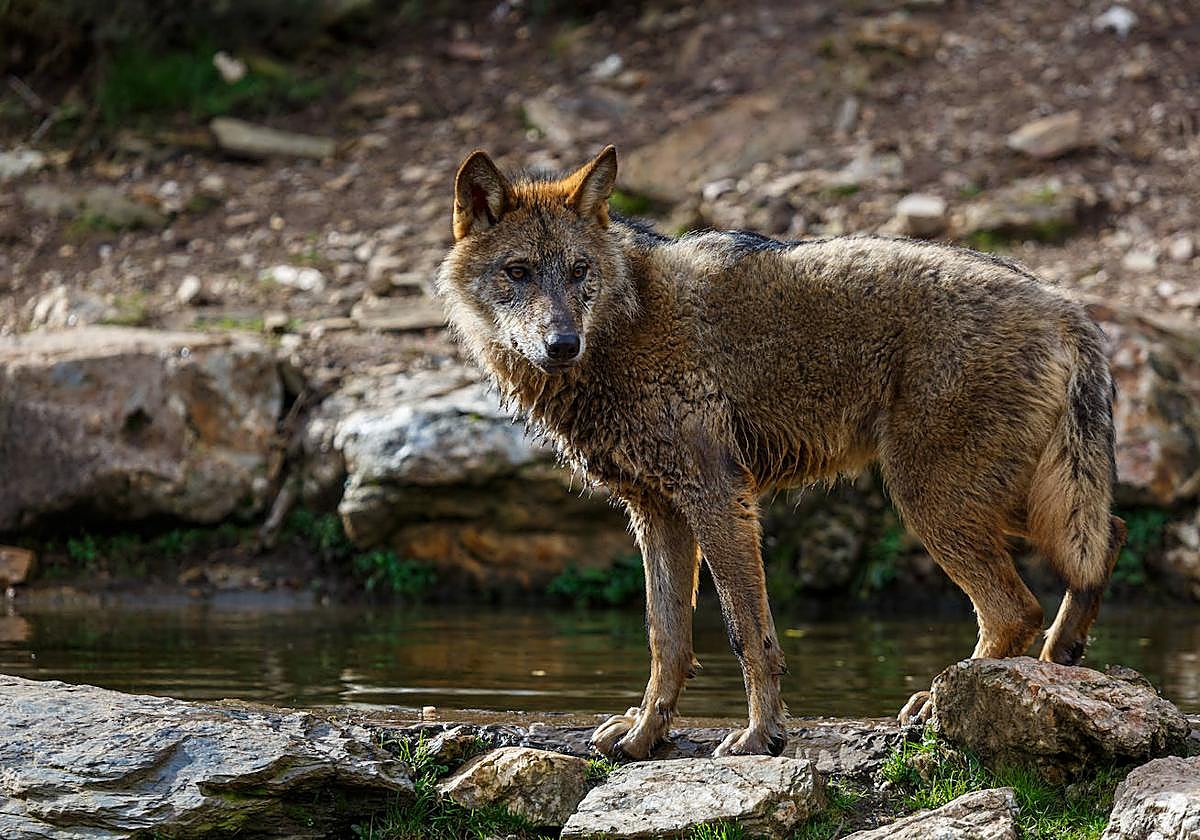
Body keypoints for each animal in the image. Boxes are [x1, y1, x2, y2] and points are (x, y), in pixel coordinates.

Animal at [435, 145, 1125, 759]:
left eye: (579, 271)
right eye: (519, 272)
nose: (562, 344)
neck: (627, 324)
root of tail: (1067, 306)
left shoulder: (719, 498)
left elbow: (747, 633)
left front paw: (760, 736)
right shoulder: (658, 514)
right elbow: (667, 640)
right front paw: (643, 736)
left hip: (930, 501)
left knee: (1017, 608)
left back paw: (939, 702)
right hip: (1008, 500)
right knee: (1106, 538)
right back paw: (1059, 662)